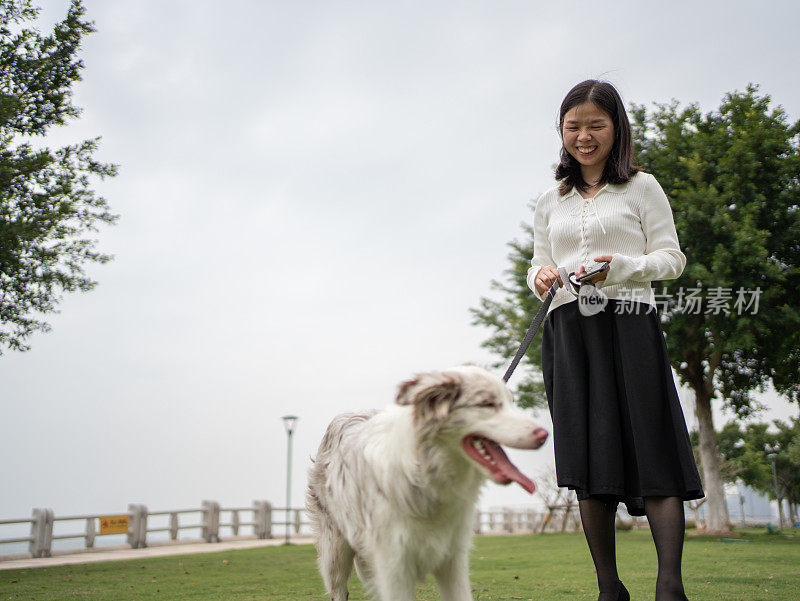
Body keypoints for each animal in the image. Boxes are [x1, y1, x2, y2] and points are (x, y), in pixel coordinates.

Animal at [306, 364, 552, 600]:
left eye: (512, 402)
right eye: (487, 404)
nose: (544, 435)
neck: (429, 478)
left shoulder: (452, 560)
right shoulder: (393, 565)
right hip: (335, 553)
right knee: (339, 589)